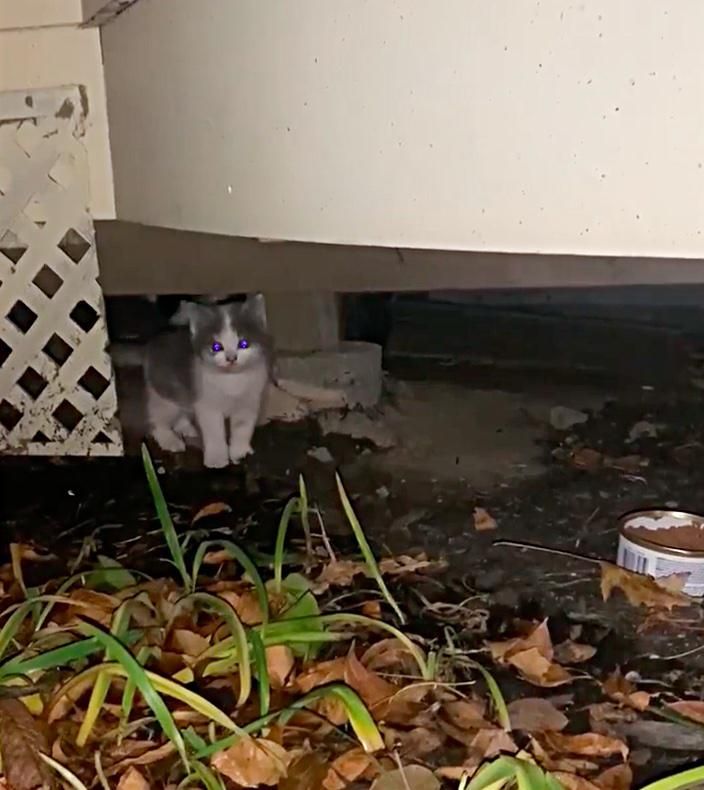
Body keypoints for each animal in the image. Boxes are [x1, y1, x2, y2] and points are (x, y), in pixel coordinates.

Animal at [145, 296, 270, 470]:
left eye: (243, 344)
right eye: (216, 347)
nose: (231, 358)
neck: (232, 380)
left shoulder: (249, 401)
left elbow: (242, 428)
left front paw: (240, 452)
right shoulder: (207, 404)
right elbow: (214, 432)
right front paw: (217, 459)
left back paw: (186, 428)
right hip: (165, 391)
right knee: (158, 418)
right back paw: (170, 440)